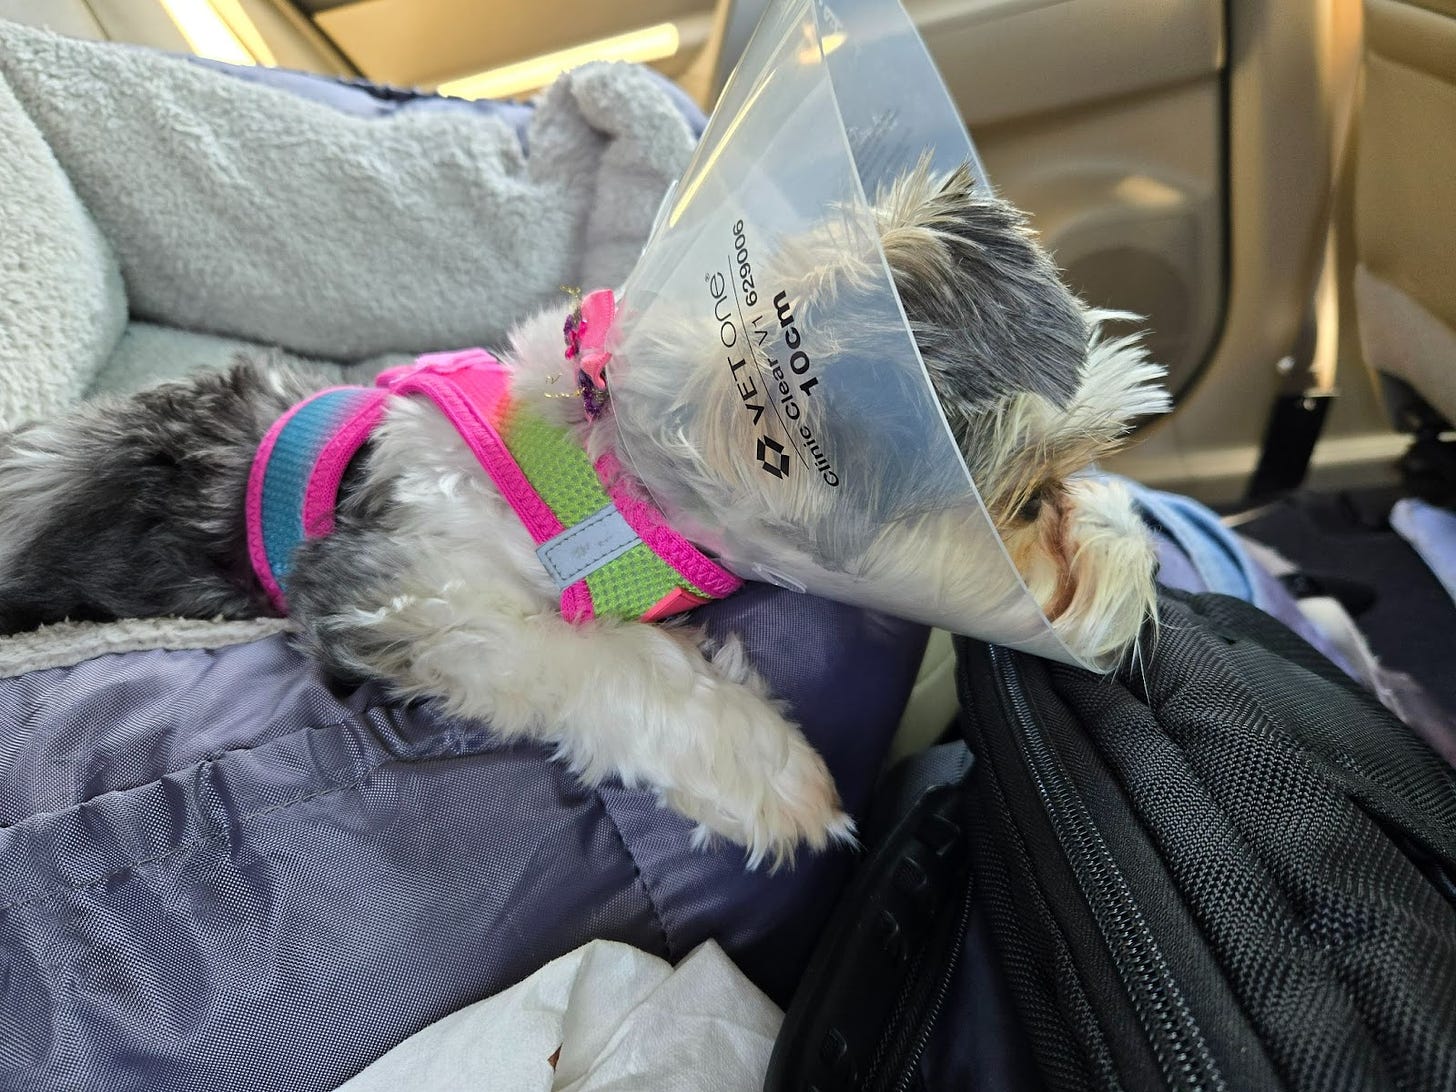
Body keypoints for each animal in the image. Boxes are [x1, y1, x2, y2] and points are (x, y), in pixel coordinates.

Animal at [0, 164, 1158, 861]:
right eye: (1029, 503)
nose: (1144, 579)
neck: (600, 472)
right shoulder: (407, 593)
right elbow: (612, 661)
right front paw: (771, 769)